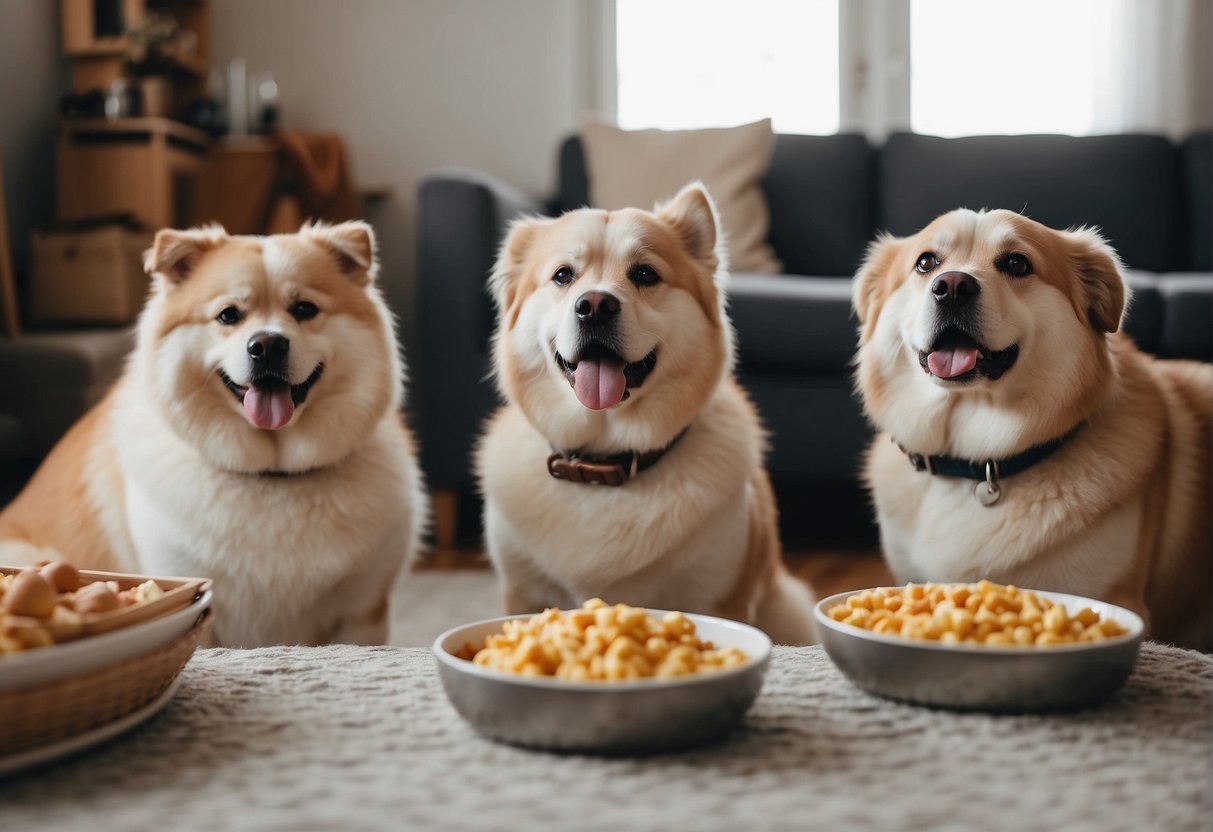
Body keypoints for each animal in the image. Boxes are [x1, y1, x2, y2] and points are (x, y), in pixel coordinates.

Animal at [0, 223, 426, 650]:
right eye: (228, 315)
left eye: (305, 309)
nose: (267, 345)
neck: (273, 476)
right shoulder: (198, 606)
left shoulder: (362, 614)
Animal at [473, 185, 815, 650]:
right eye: (563, 276)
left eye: (645, 274)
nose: (594, 305)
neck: (605, 463)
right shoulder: (523, 591)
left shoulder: (720, 597)